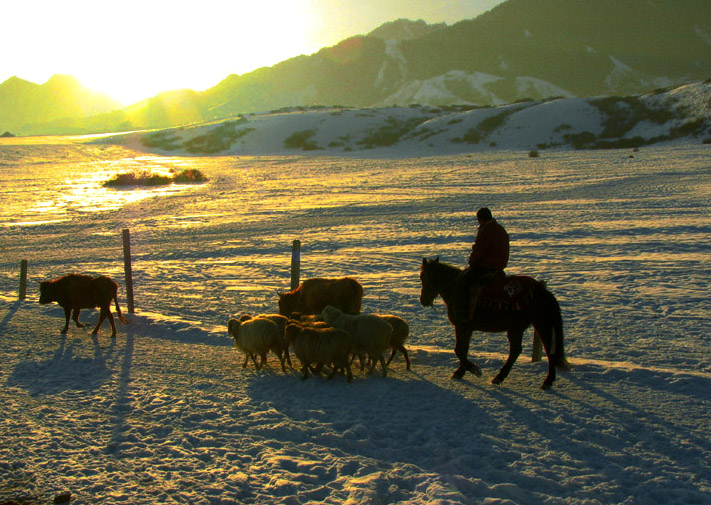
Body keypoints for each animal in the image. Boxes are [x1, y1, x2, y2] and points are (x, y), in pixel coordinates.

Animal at [420, 256, 572, 390]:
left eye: (423, 277)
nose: (423, 300)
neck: (454, 288)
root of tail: (542, 291)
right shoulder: (467, 329)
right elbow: (464, 349)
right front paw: (460, 372)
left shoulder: (462, 326)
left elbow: (459, 350)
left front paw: (473, 369)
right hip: (529, 326)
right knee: (535, 349)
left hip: (526, 327)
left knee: (529, 351)